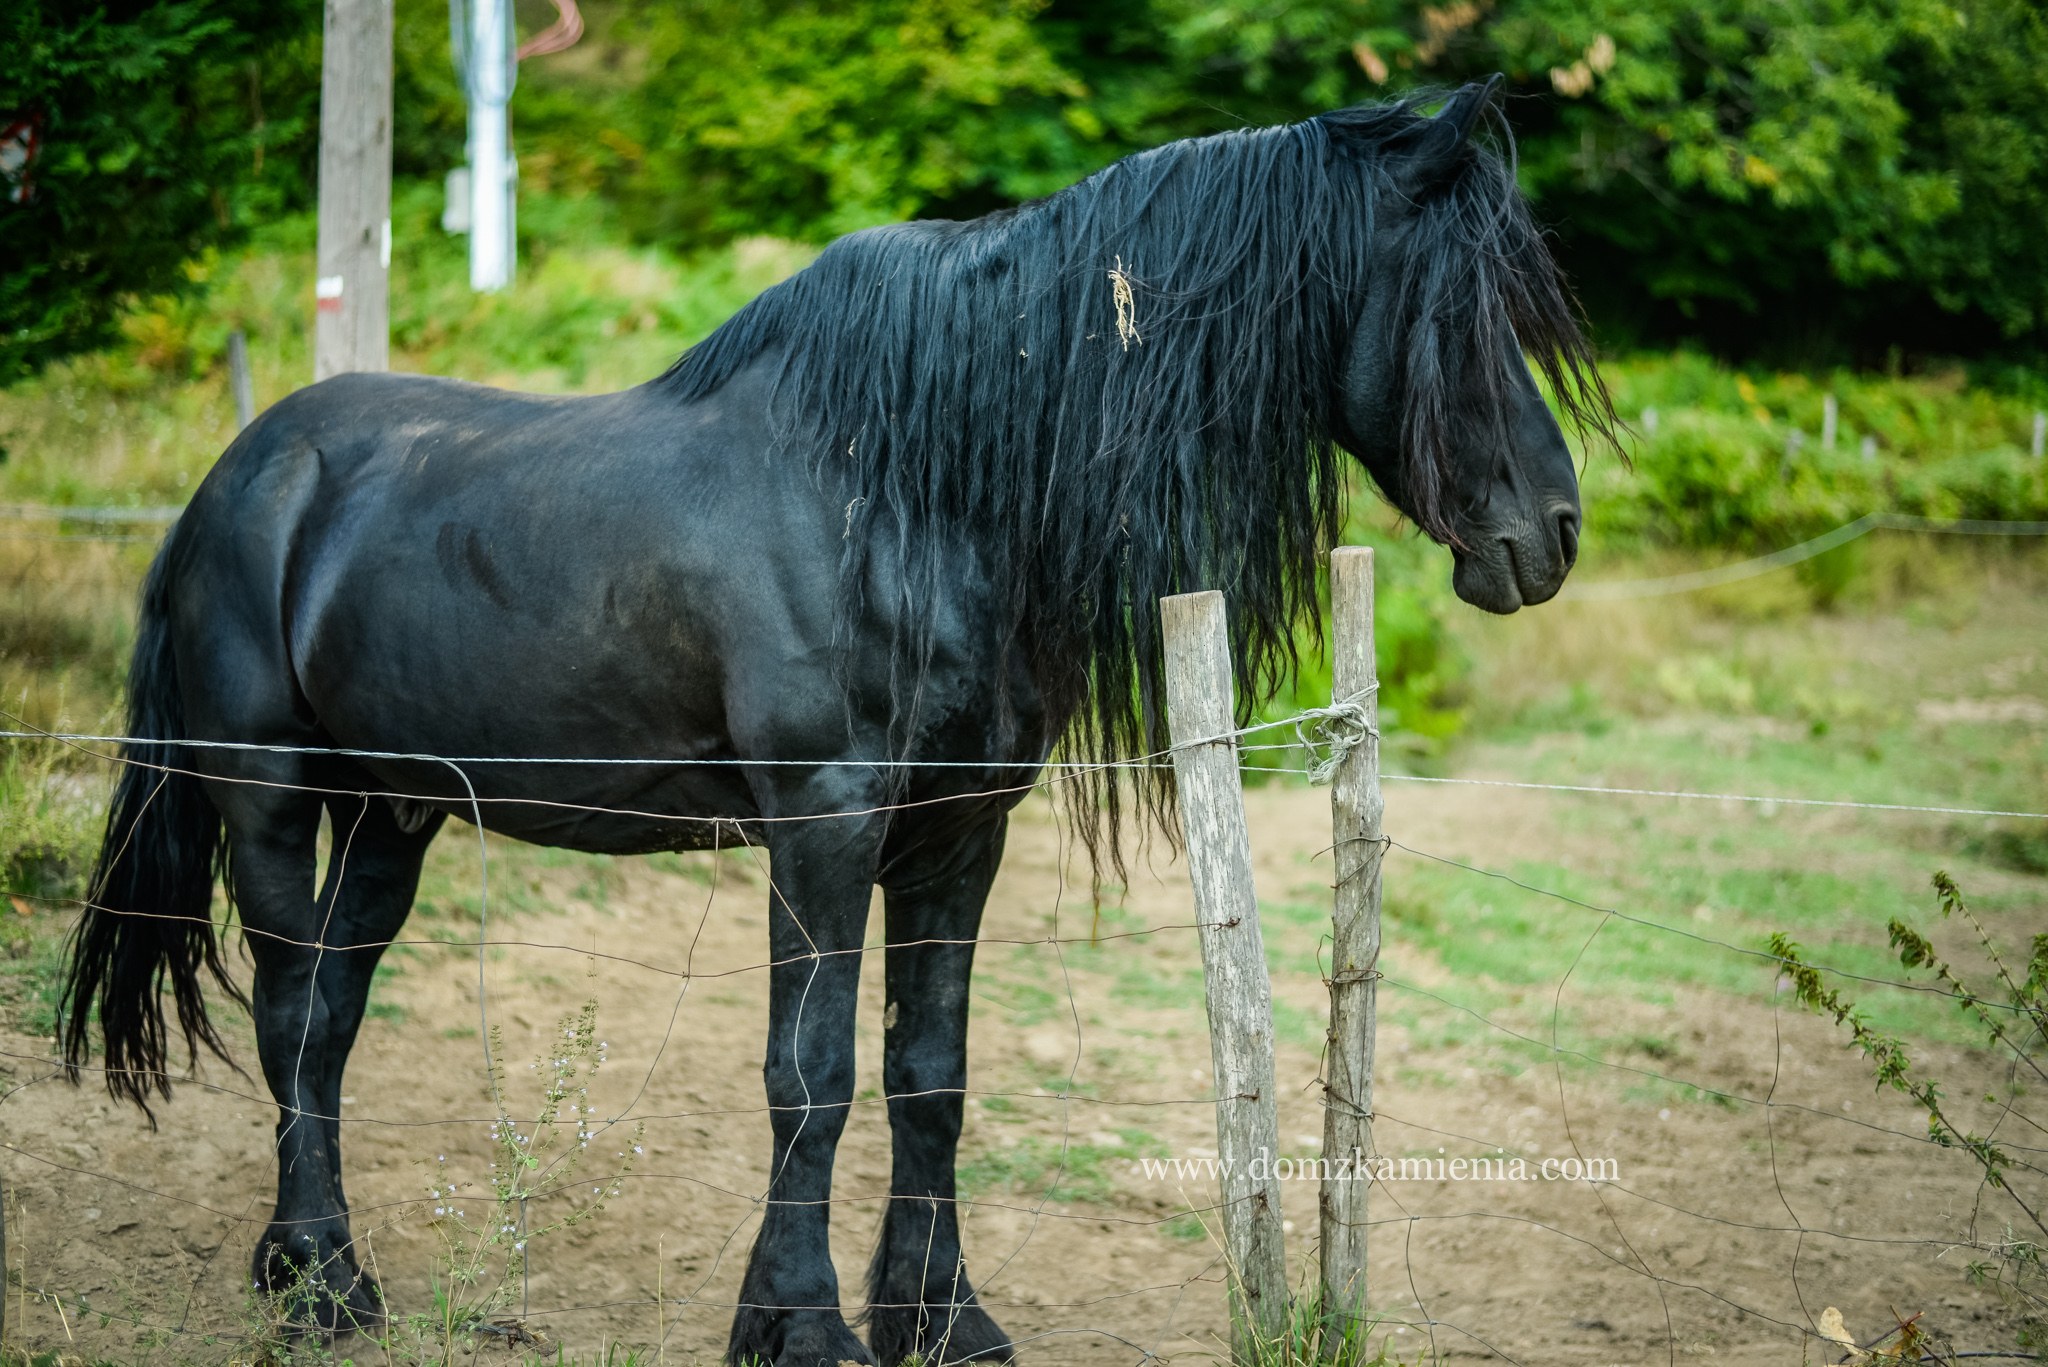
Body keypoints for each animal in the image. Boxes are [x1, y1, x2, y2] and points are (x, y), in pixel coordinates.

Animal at [59, 80, 1597, 1360]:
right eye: (1462, 313)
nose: (1554, 531)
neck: (916, 489)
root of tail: (239, 475)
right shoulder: (825, 822)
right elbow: (810, 1074)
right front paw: (799, 1326)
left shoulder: (957, 831)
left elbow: (929, 1075)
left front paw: (941, 1318)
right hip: (271, 797)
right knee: (283, 1011)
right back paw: (320, 1282)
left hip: (396, 809)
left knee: (327, 1020)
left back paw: (311, 1269)